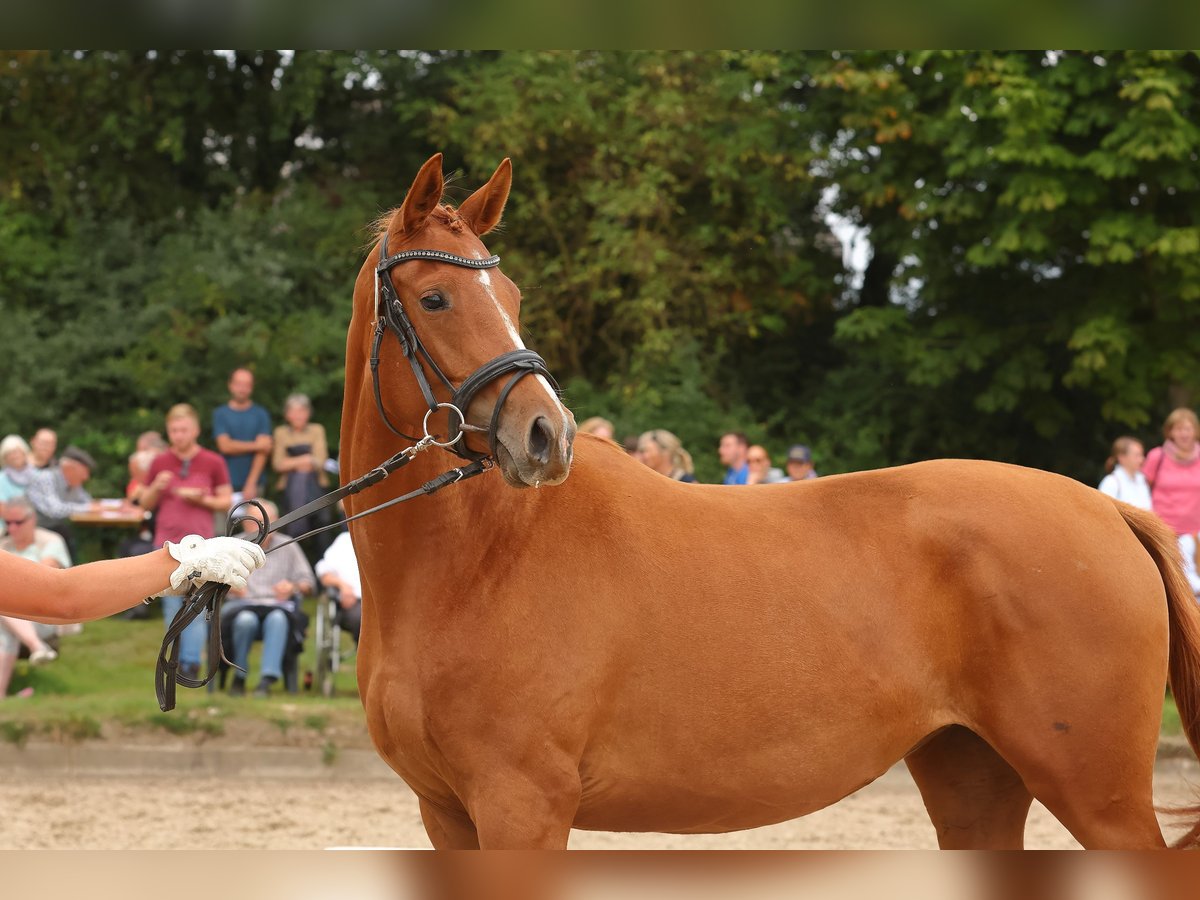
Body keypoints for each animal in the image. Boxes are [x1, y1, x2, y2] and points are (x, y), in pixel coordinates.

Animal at [340, 151, 1200, 849]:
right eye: (437, 298)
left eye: (511, 294)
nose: (547, 435)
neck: (476, 563)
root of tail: (1109, 510)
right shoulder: (448, 814)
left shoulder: (524, 806)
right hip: (973, 781)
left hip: (1098, 794)